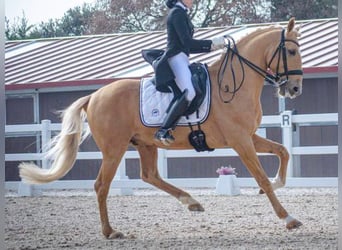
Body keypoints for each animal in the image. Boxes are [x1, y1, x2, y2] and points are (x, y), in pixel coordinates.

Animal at [19, 18, 302, 238]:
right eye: (290, 52)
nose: (295, 89)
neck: (233, 85)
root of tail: (94, 96)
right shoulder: (240, 140)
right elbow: (260, 176)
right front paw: (288, 218)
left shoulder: (249, 136)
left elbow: (283, 151)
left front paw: (278, 183)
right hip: (114, 149)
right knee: (102, 185)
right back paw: (110, 231)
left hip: (145, 144)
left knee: (150, 175)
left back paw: (191, 202)